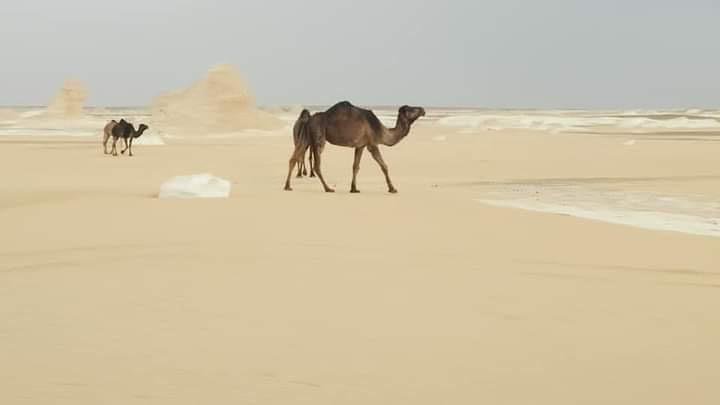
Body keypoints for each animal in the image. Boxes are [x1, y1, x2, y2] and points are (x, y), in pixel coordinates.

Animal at [284, 101, 425, 193]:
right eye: (412, 109)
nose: (423, 110)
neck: (380, 129)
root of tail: (308, 120)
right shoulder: (372, 144)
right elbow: (384, 166)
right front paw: (392, 189)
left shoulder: (360, 145)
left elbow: (355, 167)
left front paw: (354, 188)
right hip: (318, 137)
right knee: (316, 165)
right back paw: (328, 188)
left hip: (305, 137)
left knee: (293, 159)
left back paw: (287, 186)